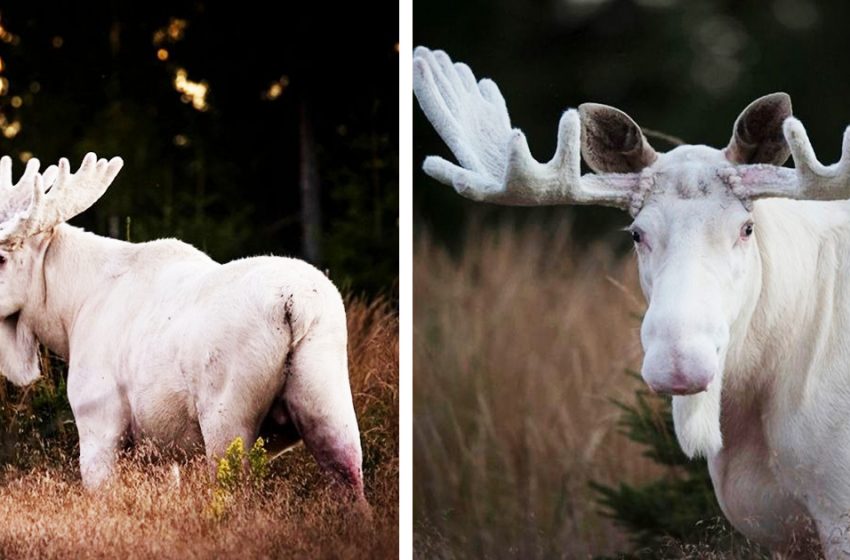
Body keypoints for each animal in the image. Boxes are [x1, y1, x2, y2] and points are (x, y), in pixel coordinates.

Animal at [0, 154, 362, 504]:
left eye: (2, 258)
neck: (69, 312)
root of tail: (294, 306)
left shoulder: (98, 422)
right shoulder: (161, 451)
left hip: (226, 418)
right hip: (330, 402)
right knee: (350, 480)